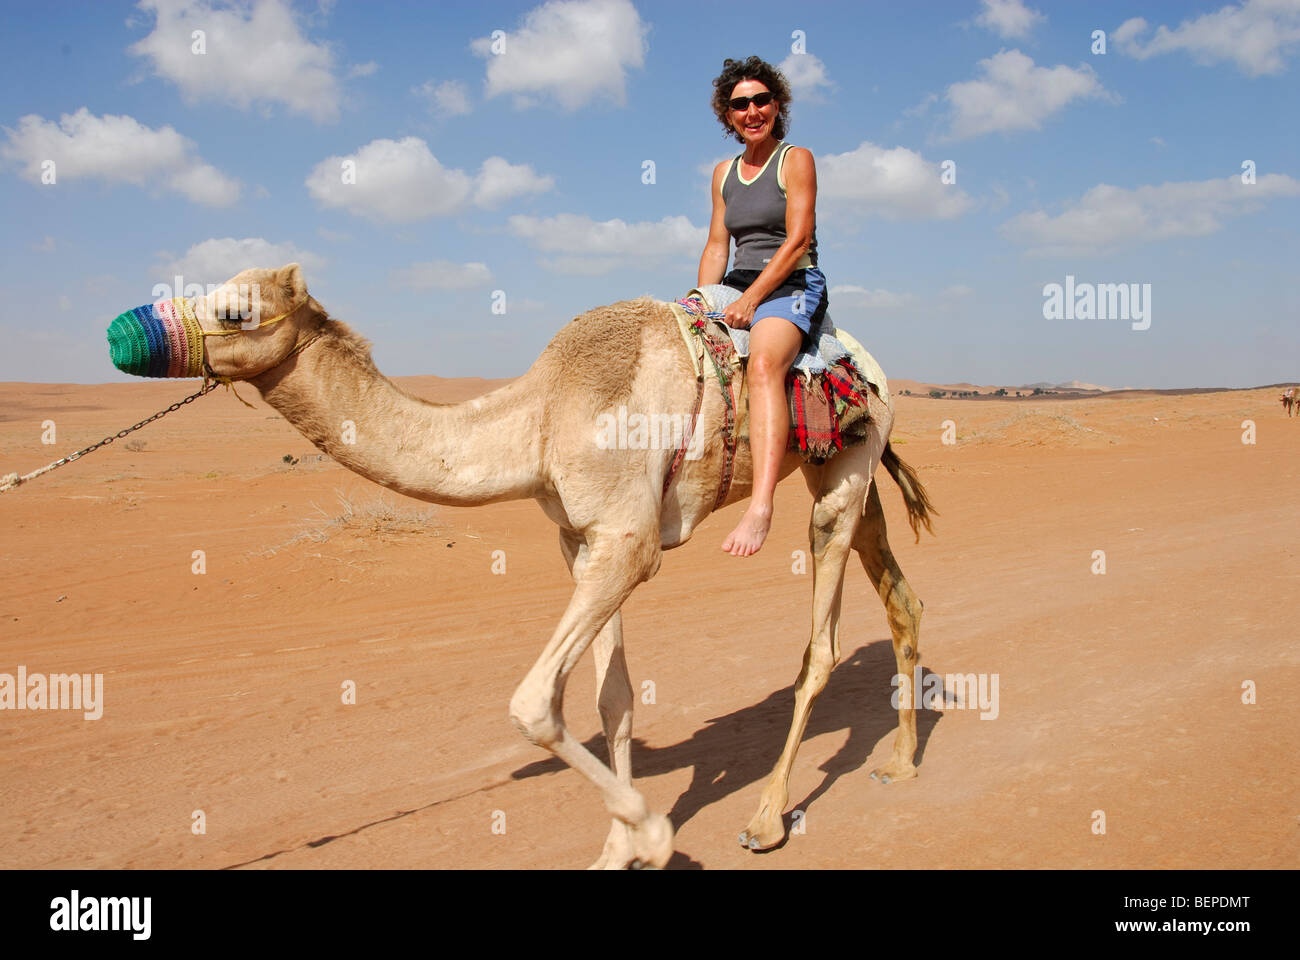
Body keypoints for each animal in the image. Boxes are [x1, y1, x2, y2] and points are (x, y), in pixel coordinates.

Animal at [194, 263, 934, 868]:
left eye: (233, 309)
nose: (158, 333)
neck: (545, 416)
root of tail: (876, 369)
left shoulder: (629, 543)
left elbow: (534, 705)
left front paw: (652, 835)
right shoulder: (582, 541)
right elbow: (615, 700)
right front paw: (617, 849)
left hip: (842, 480)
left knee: (821, 645)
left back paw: (766, 820)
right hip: (847, 468)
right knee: (902, 597)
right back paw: (900, 763)